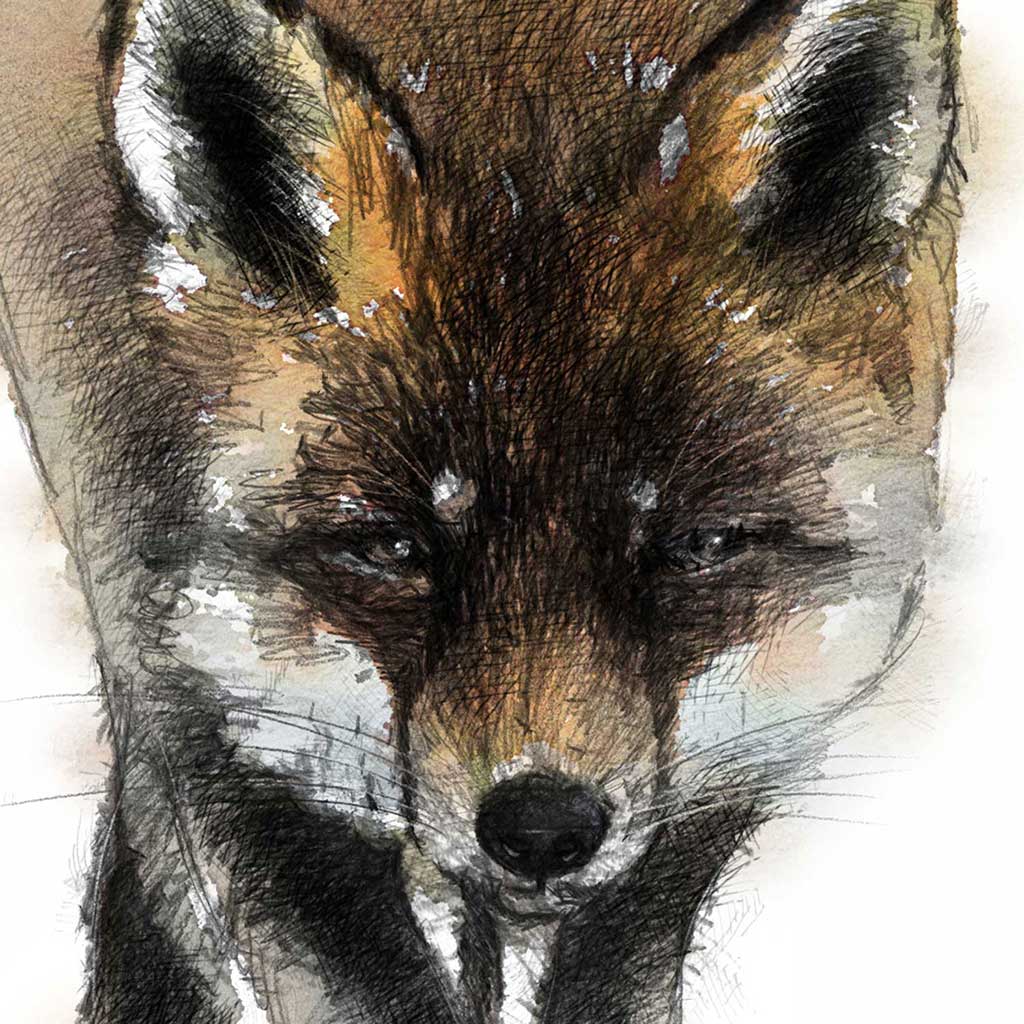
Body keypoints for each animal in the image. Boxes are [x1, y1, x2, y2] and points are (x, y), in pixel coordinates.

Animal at [0, 0, 961, 1022]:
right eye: (391, 546)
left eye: (698, 545)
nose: (540, 828)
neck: (519, 72)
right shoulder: (202, 704)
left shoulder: (729, 755)